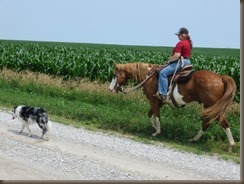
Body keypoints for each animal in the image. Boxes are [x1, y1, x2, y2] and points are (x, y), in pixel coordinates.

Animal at [108, 61, 236, 151]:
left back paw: (231, 145)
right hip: (210, 107)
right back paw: (194, 139)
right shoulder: (158, 103)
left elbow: (156, 116)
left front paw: (157, 132)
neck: (148, 76)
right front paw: (155, 128)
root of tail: (221, 77)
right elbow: (150, 114)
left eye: (115, 75)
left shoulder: (154, 101)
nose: (110, 89)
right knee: (207, 122)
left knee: (222, 123)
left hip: (212, 107)